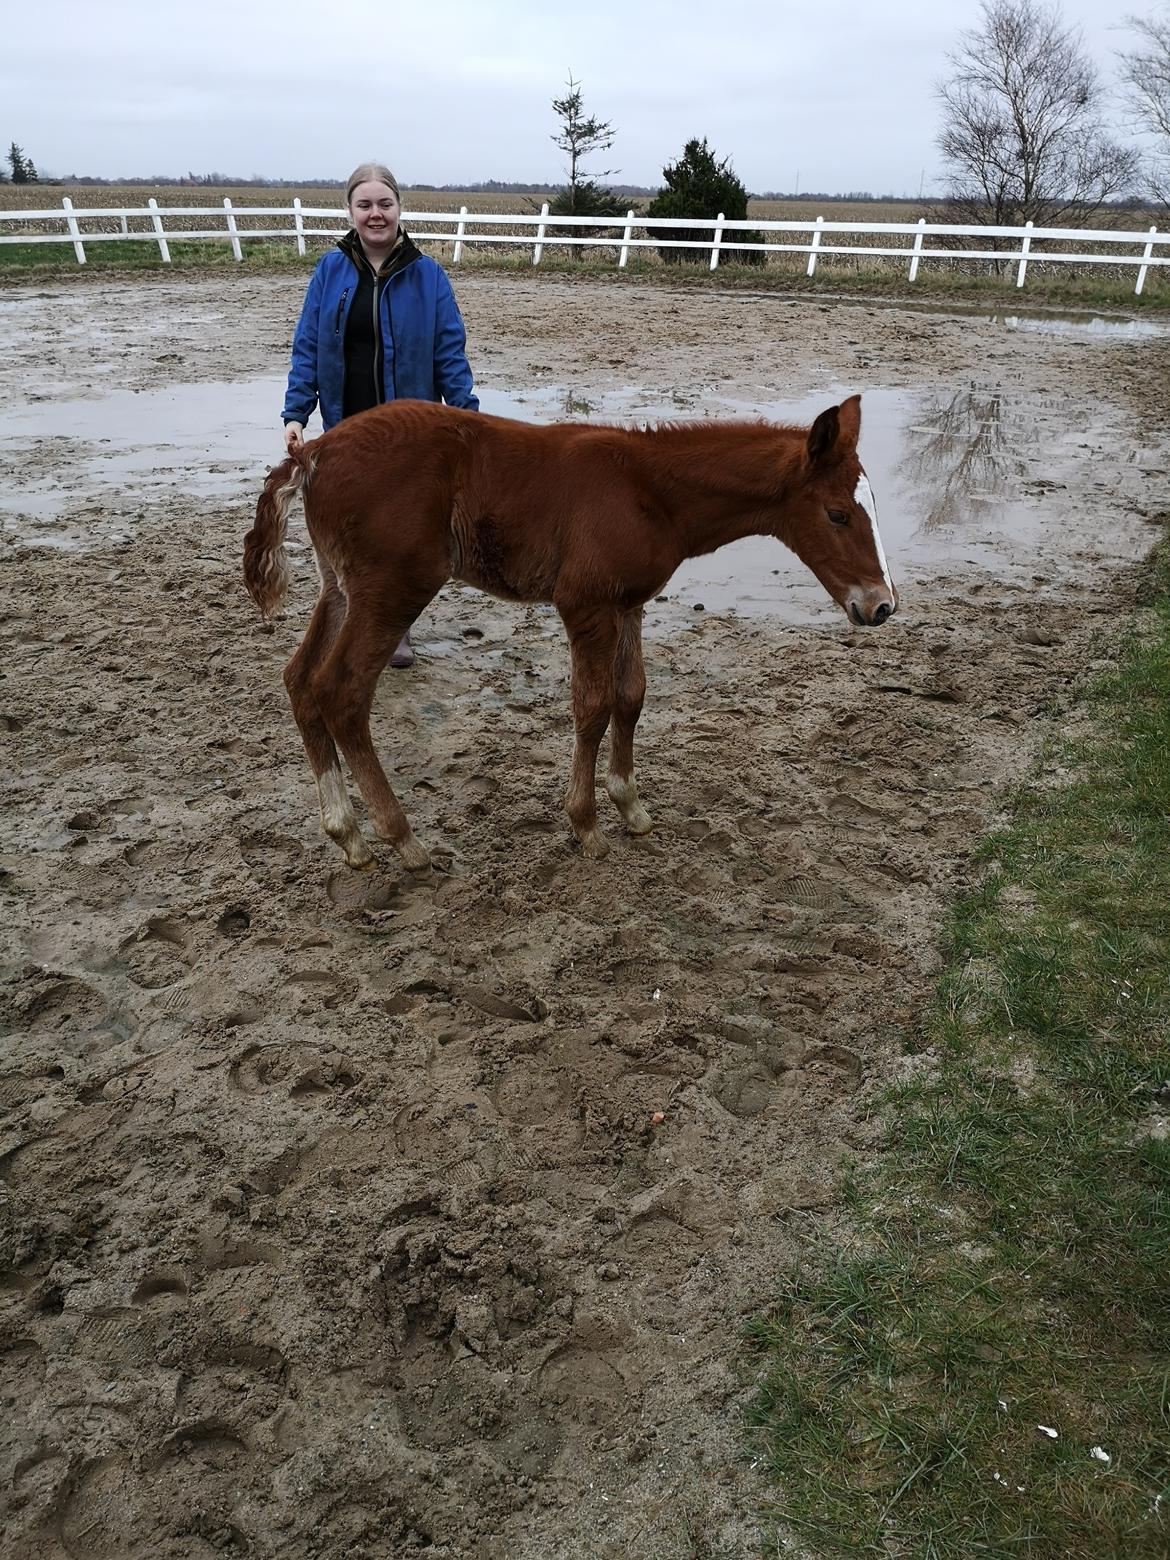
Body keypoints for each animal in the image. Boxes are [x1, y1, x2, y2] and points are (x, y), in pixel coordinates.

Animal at [244, 396, 898, 873]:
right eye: (838, 513)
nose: (881, 605)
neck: (648, 489)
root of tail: (314, 452)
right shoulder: (584, 604)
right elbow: (592, 706)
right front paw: (585, 823)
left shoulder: (628, 606)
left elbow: (631, 697)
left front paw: (630, 805)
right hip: (392, 590)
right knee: (343, 692)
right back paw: (402, 840)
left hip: (340, 587)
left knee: (300, 681)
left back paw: (346, 834)